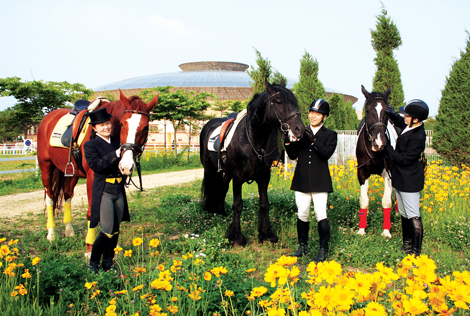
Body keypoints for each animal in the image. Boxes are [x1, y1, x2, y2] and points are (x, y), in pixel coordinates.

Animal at [36, 90, 158, 256]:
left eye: (145, 128)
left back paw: (69, 230)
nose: (126, 165)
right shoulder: (92, 177)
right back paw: (52, 234)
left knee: (67, 195)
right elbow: (91, 212)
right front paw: (89, 249)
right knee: (49, 197)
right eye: (122, 124)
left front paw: (114, 247)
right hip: (46, 166)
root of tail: (48, 118)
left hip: (71, 173)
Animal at [199, 78, 304, 244]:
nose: (299, 129)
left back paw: (221, 211)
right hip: (209, 169)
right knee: (211, 186)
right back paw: (211, 209)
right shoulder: (238, 177)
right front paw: (235, 236)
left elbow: (264, 204)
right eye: (278, 101)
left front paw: (266, 233)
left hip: (225, 173)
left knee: (223, 188)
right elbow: (237, 205)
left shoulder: (264, 177)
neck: (252, 140)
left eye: (294, 102)